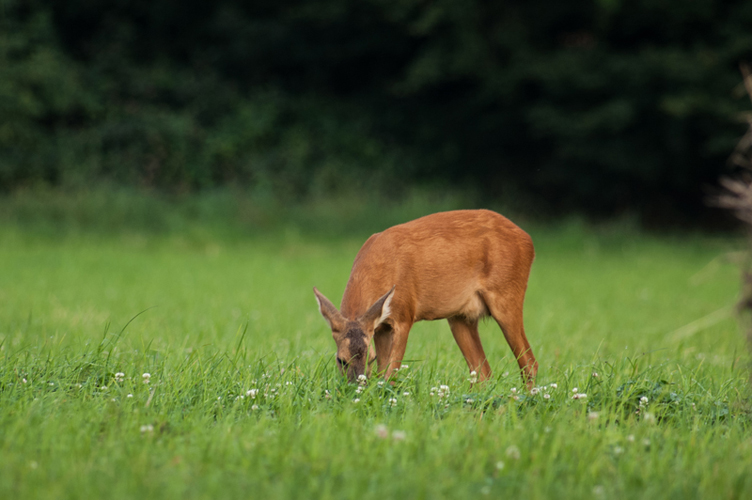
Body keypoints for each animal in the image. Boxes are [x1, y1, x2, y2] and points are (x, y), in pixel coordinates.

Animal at [314, 209, 536, 388]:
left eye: (370, 358)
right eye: (340, 360)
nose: (355, 387)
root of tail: (529, 240)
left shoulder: (405, 314)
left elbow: (390, 375)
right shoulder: (380, 327)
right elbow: (383, 370)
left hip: (507, 296)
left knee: (529, 363)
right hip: (460, 317)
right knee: (483, 373)